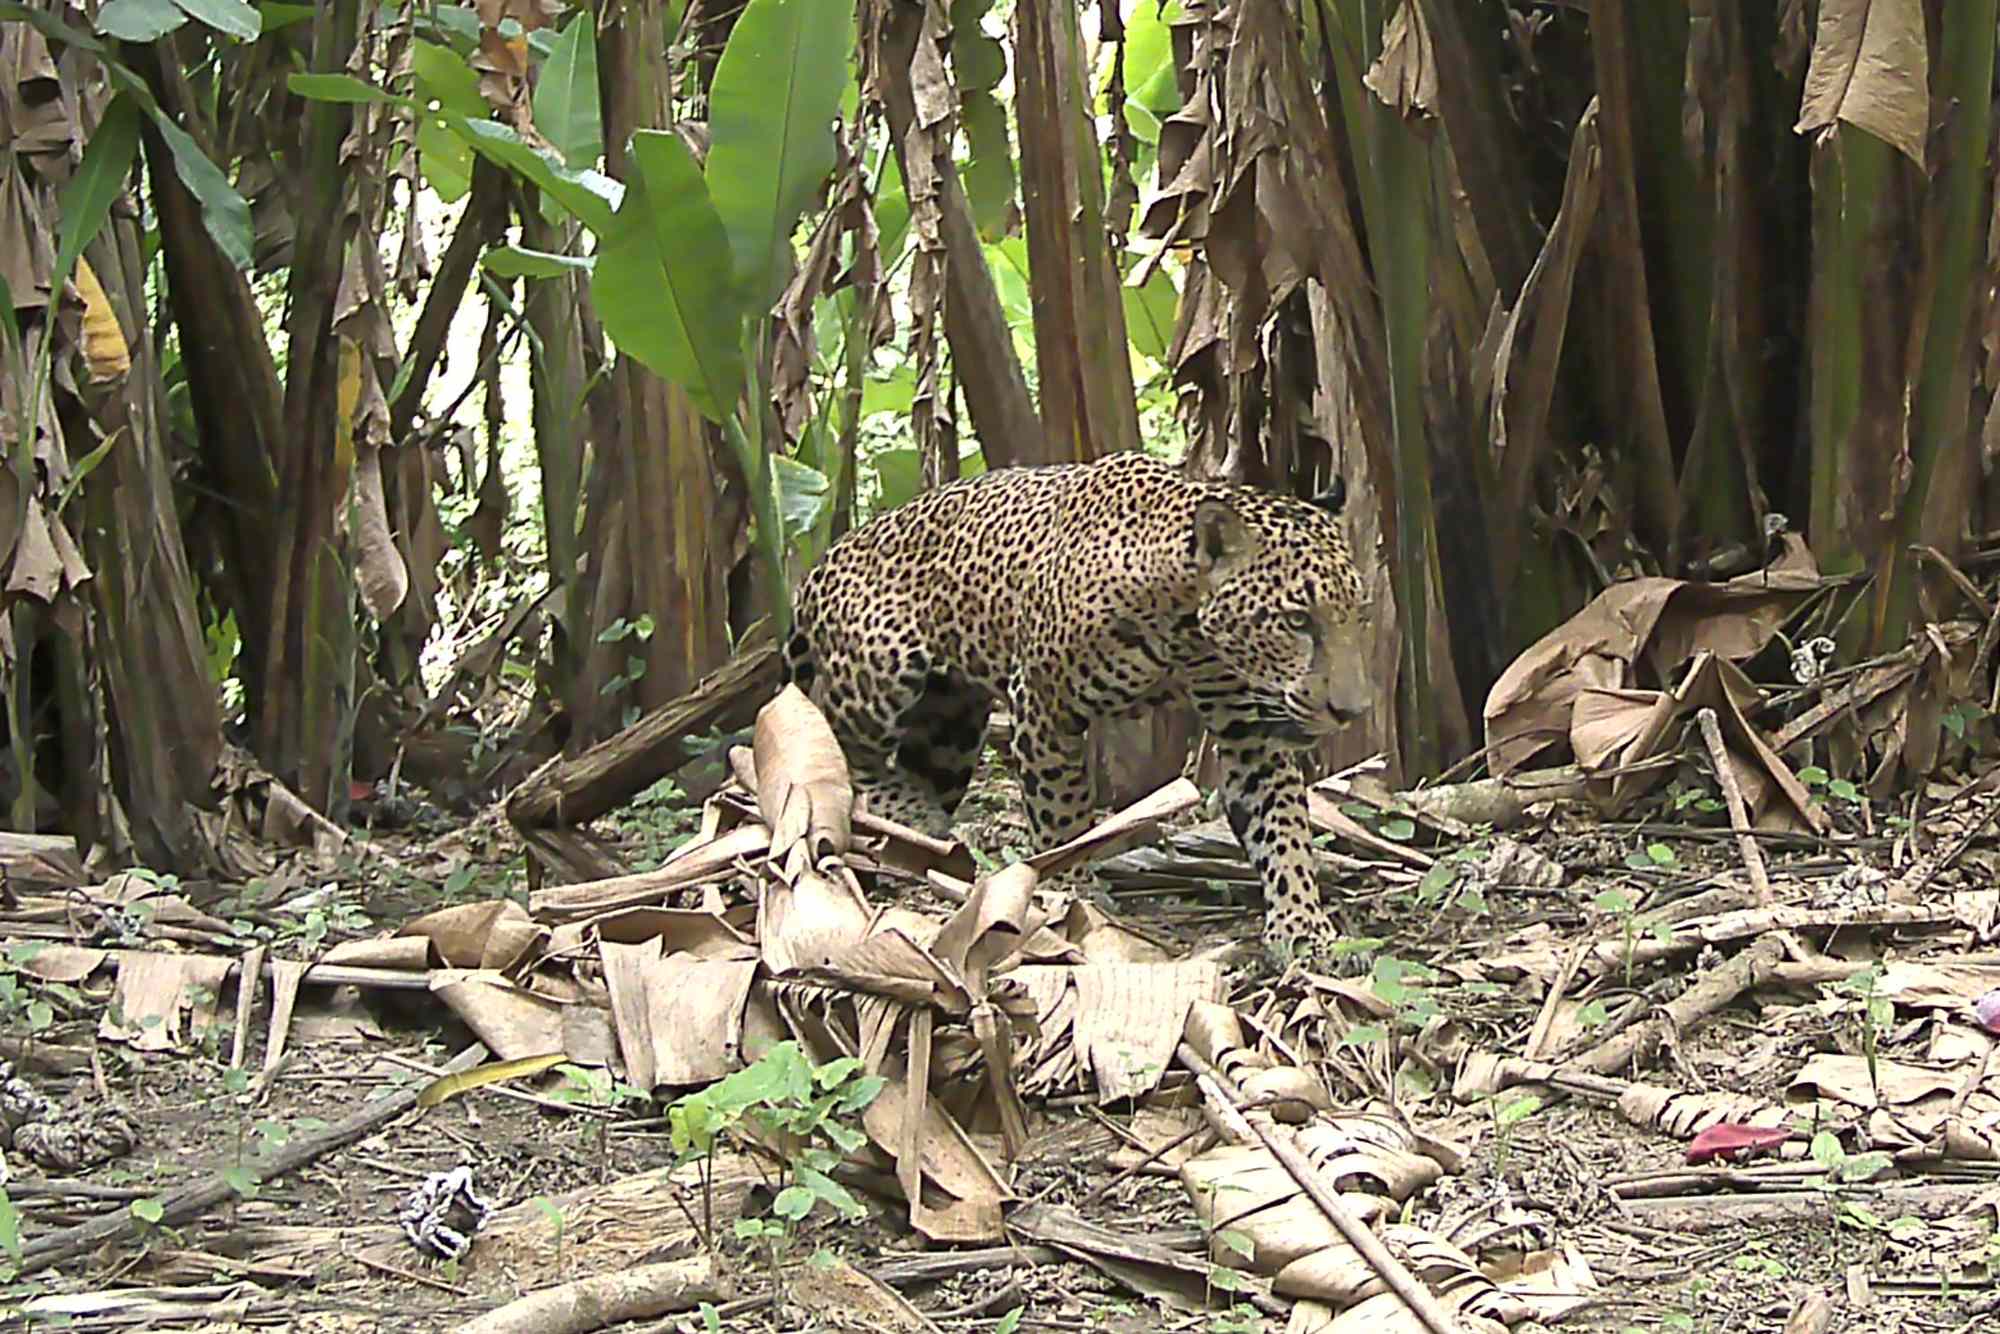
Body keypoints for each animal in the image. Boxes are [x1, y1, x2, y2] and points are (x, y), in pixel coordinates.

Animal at [782, 450, 1374, 963]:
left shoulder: (1248, 731)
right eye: (1297, 620)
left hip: (951, 727)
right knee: (834, 736)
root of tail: (825, 558)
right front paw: (1071, 891)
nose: (1354, 712)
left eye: (1361, 615)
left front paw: (1303, 925)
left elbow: (1282, 824)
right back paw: (907, 808)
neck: (1187, 630)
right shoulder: (1042, 704)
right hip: (882, 667)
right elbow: (1061, 812)